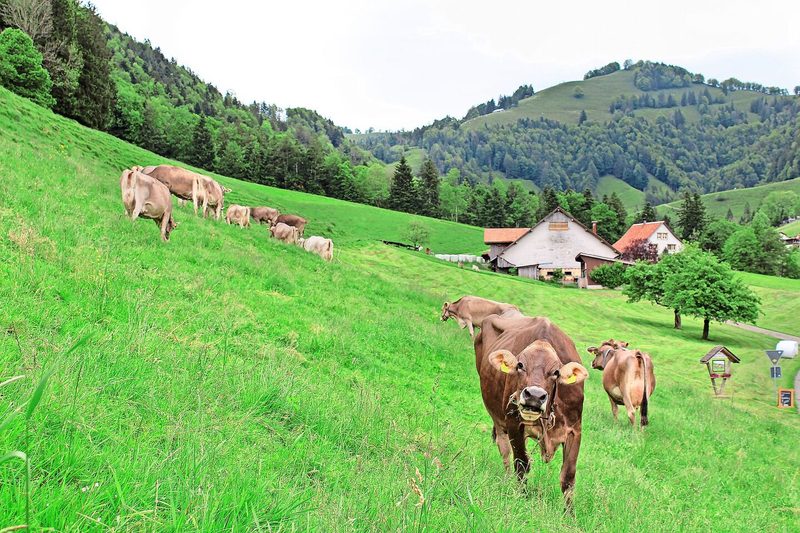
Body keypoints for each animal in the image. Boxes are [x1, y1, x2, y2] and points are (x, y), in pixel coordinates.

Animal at [475, 314, 588, 513]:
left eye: (556, 372)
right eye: (520, 365)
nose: (534, 396)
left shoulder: (575, 429)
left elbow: (568, 476)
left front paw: (569, 514)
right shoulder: (513, 423)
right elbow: (521, 463)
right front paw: (522, 497)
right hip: (498, 420)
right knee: (504, 451)